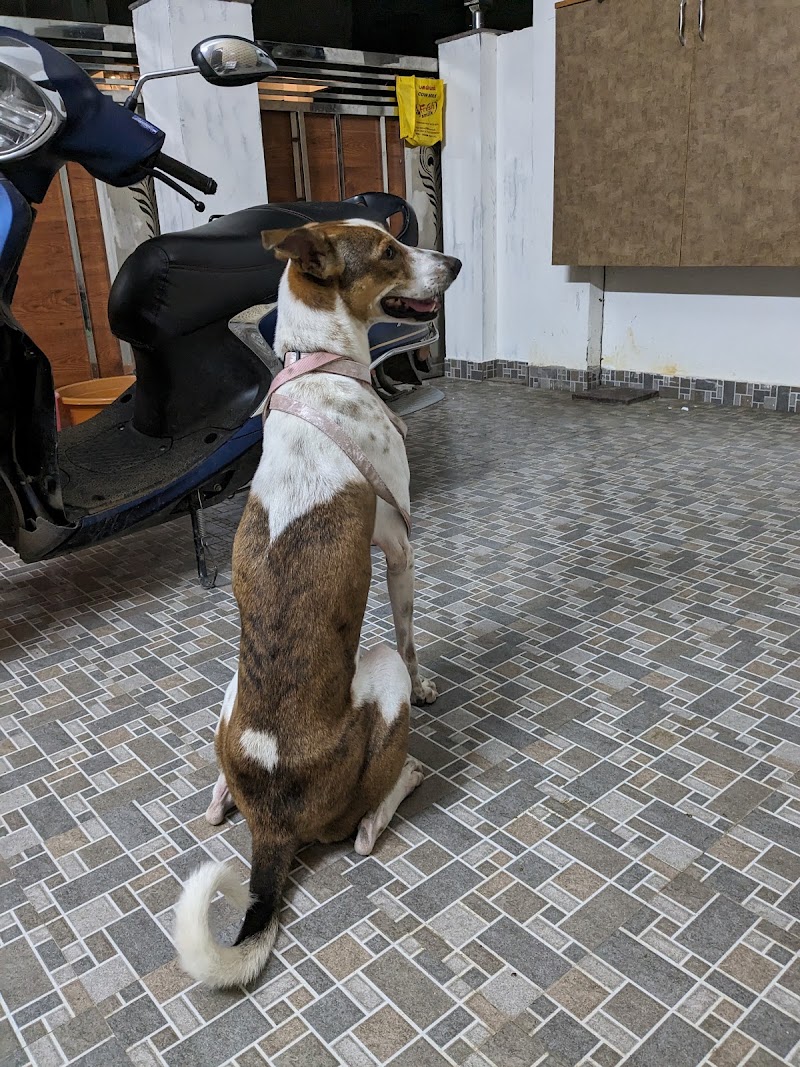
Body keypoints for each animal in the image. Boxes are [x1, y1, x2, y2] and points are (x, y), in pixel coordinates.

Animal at [173, 219, 461, 988]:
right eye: (389, 251)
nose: (453, 261)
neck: (319, 367)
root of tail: (272, 825)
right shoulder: (398, 541)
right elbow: (412, 631)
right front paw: (429, 687)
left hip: (229, 689)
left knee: (215, 807)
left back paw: (221, 798)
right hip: (377, 671)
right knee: (361, 832)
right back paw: (406, 777)